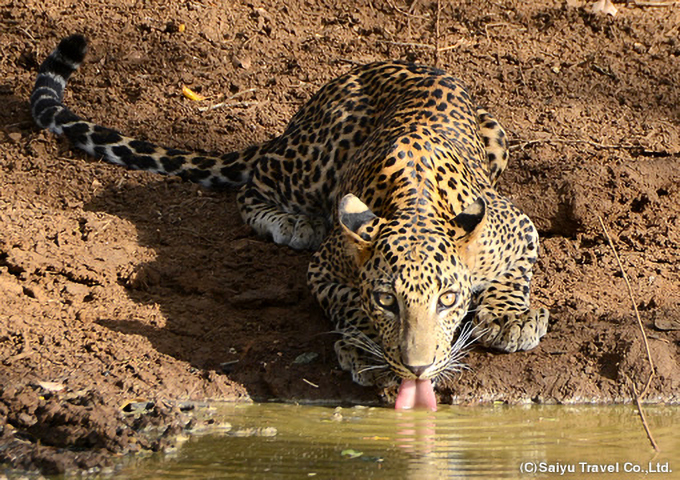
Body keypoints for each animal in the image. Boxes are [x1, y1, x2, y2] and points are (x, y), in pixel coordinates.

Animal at [31, 33, 548, 408]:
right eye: (386, 301)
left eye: (448, 300)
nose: (418, 368)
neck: (417, 206)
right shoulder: (324, 269)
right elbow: (346, 300)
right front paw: (363, 345)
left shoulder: (519, 228)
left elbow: (513, 274)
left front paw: (511, 318)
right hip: (315, 158)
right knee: (253, 184)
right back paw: (295, 223)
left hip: (496, 132)